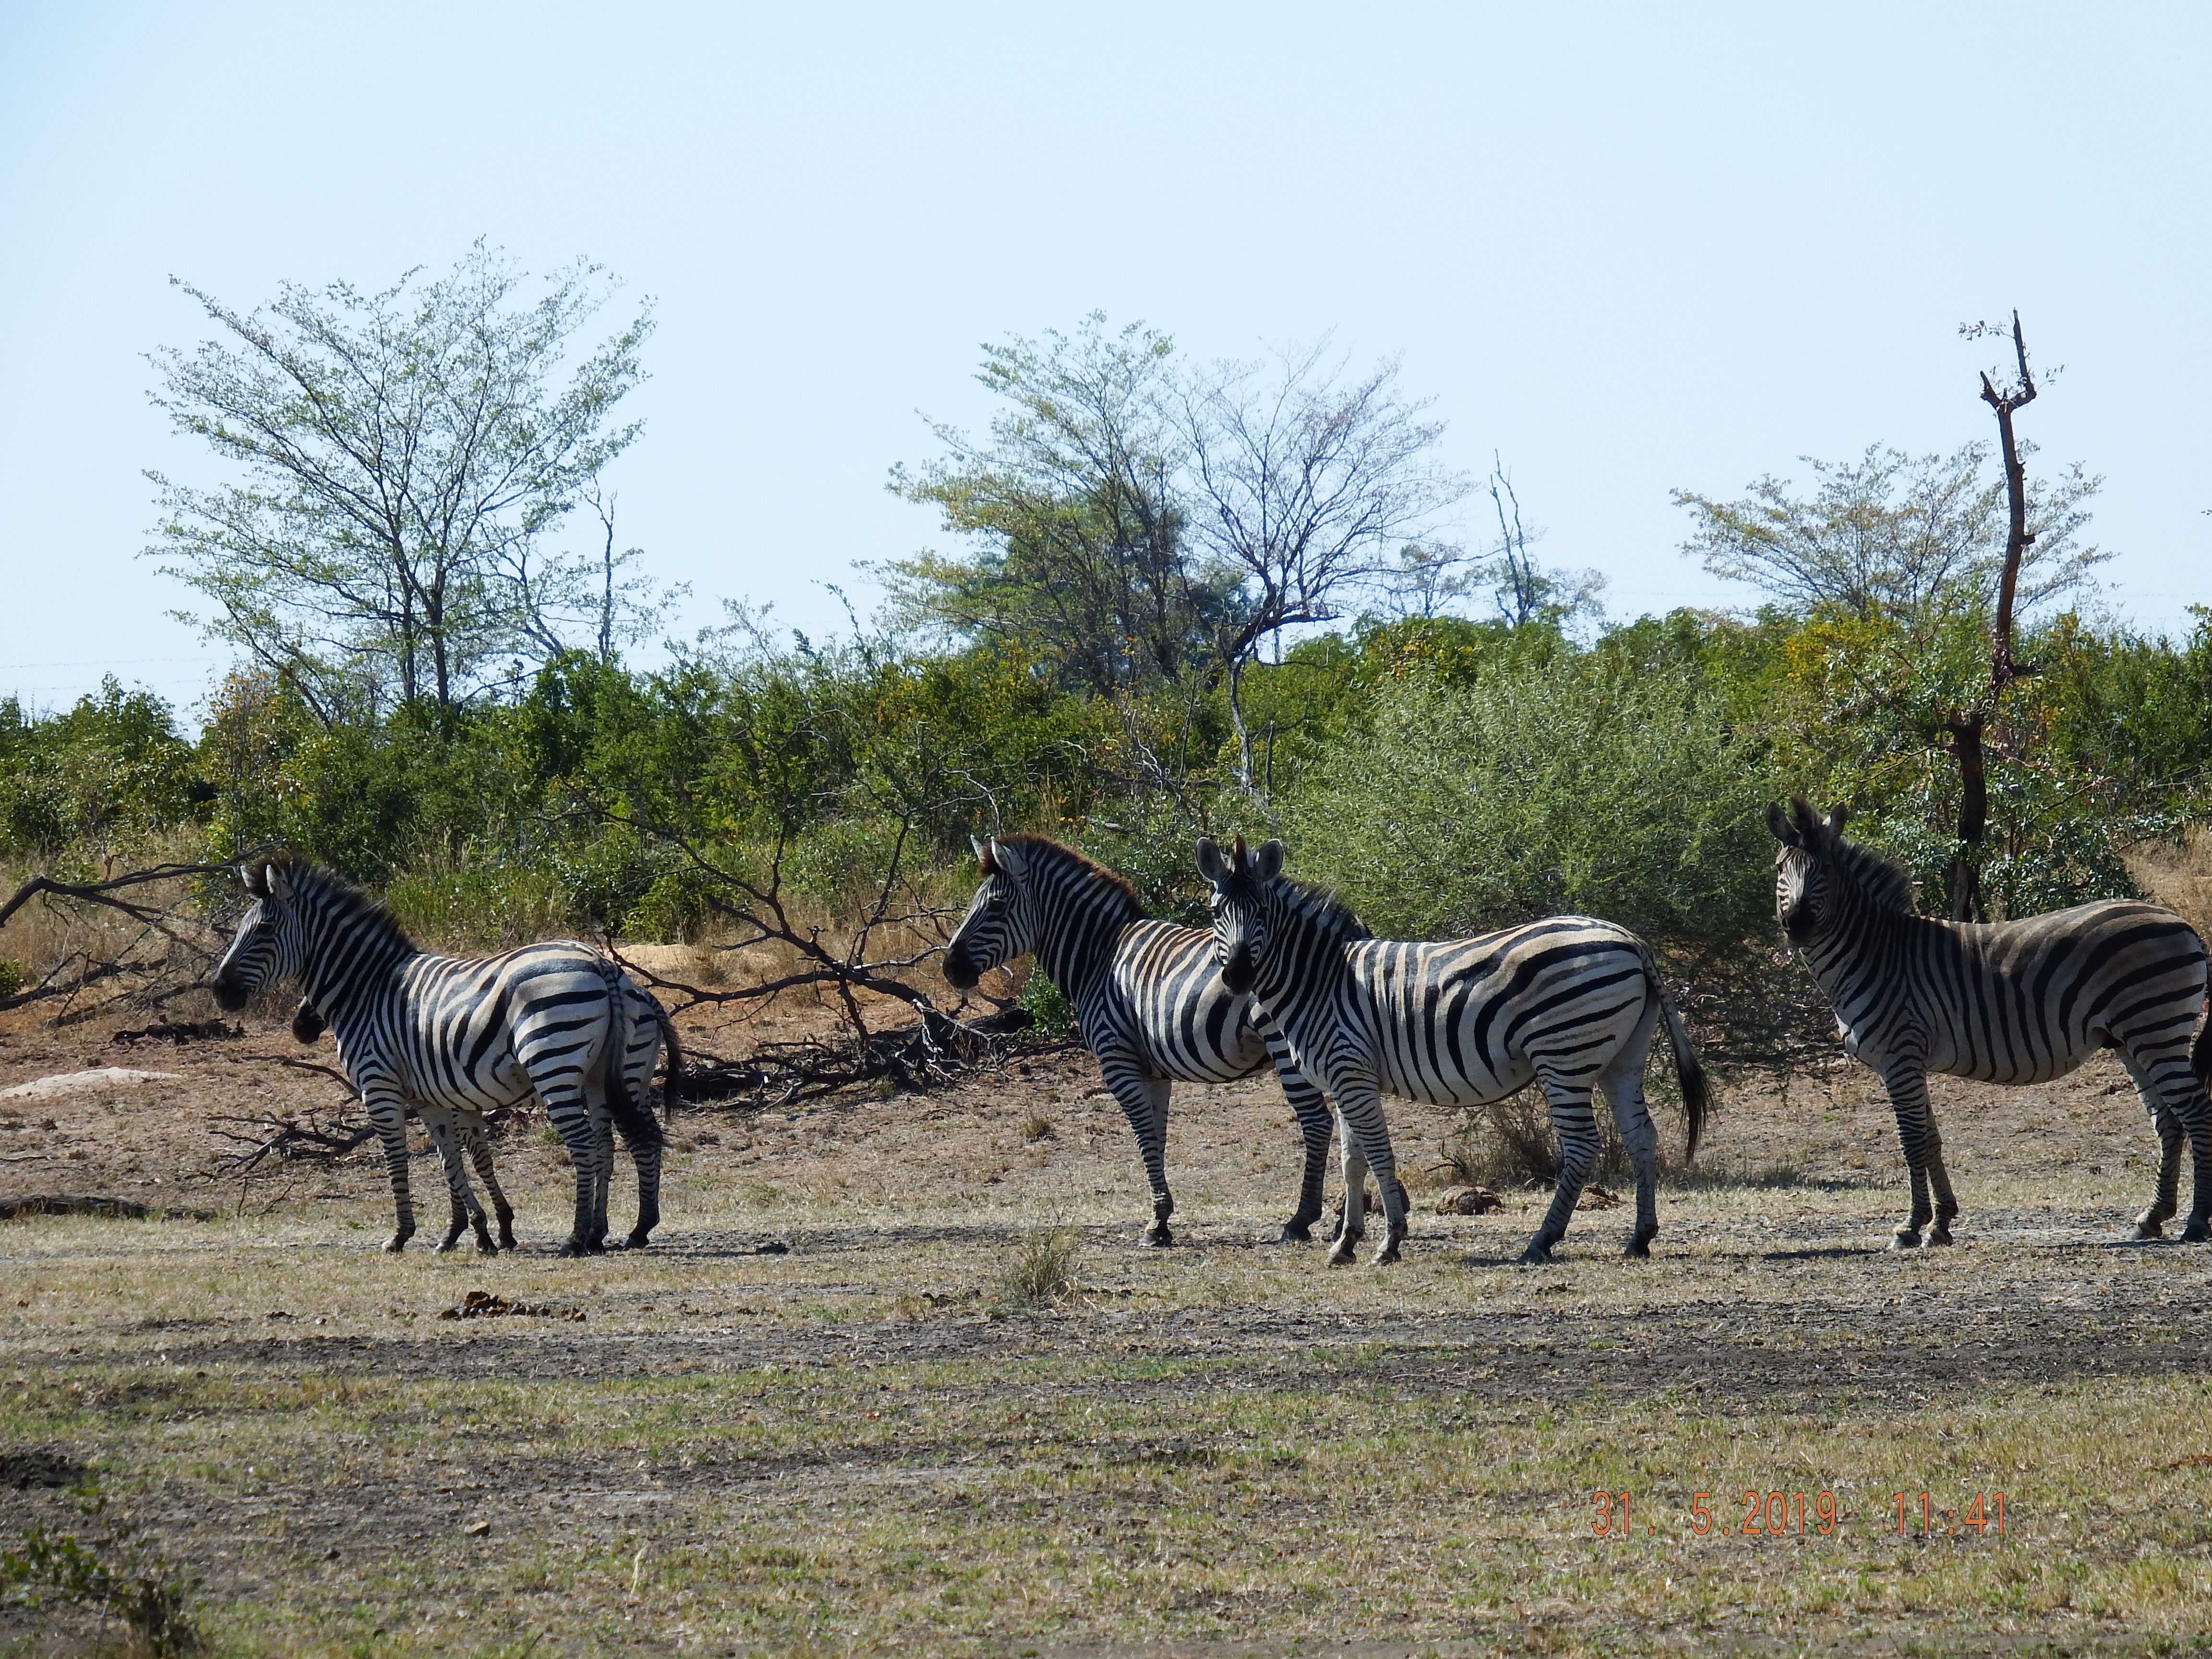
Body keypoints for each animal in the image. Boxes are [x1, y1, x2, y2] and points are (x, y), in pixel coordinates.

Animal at [212, 860, 680, 1256]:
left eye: (266, 928)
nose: (220, 991)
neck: (366, 991)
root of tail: (603, 964)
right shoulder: (432, 1096)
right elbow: (450, 1159)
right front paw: (473, 1233)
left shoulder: (379, 1087)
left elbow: (398, 1160)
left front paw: (403, 1235)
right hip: (612, 1075)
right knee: (626, 1140)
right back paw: (623, 1231)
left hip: (555, 1064)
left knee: (584, 1143)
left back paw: (577, 1237)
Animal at [941, 834, 1355, 1246]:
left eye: (996, 905)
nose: (950, 969)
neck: (1098, 957)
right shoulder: (1154, 1070)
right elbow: (1157, 1133)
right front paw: (1163, 1217)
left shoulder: (1116, 1057)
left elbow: (1142, 1132)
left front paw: (1157, 1223)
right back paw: (1343, 1217)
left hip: (1288, 1045)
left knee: (1318, 1122)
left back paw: (1302, 1219)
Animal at [1196, 835, 1708, 1266]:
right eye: (1216, 911)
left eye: (1263, 913)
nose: (1238, 977)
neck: (1320, 980)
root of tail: (1629, 939)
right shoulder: (1346, 1080)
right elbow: (1352, 1162)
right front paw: (1346, 1244)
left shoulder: (1350, 1071)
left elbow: (1378, 1155)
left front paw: (1389, 1243)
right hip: (1622, 1059)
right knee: (1641, 1136)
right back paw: (1639, 1238)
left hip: (1564, 1056)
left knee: (1582, 1146)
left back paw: (1540, 1243)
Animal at [1768, 797, 2212, 1247]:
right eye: (1780, 868)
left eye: (1824, 870)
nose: (1797, 926)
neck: (1875, 952)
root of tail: (2180, 921)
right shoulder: (1910, 1061)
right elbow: (1931, 1140)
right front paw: (1941, 1224)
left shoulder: (1899, 1055)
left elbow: (1912, 1141)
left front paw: (1910, 1228)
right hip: (2131, 1039)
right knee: (2168, 1121)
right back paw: (2151, 1218)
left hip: (2156, 1028)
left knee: (2196, 1112)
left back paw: (2196, 1222)